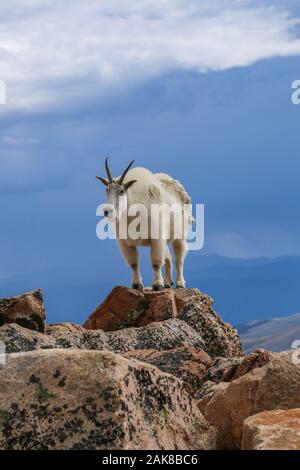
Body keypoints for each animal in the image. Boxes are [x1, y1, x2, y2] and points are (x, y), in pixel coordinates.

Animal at [97, 159, 193, 290]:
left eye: (122, 191)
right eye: (107, 190)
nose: (107, 211)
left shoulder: (156, 238)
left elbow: (156, 262)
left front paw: (157, 285)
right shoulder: (124, 242)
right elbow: (133, 263)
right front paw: (137, 285)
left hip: (181, 233)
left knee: (179, 259)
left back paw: (180, 284)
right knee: (168, 258)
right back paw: (168, 283)